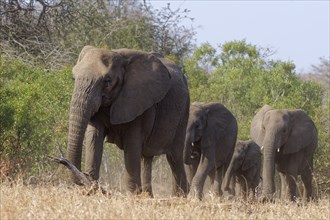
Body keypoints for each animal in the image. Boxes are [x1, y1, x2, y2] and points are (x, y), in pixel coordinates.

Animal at [66, 45, 188, 197]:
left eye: (107, 81)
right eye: (73, 78)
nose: (85, 176)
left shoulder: (138, 100)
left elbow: (132, 146)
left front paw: (132, 196)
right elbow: (94, 137)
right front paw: (92, 189)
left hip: (183, 113)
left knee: (174, 158)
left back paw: (180, 197)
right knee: (146, 158)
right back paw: (148, 196)